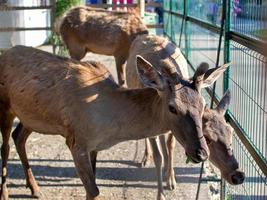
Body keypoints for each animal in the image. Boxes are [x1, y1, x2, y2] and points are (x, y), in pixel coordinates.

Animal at [0, 45, 214, 200]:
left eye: (203, 105)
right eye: (172, 107)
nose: (202, 153)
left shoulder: (94, 146)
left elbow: (93, 182)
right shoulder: (76, 141)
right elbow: (93, 191)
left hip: (30, 116)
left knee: (18, 137)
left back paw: (34, 189)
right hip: (5, 107)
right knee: (5, 146)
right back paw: (5, 193)